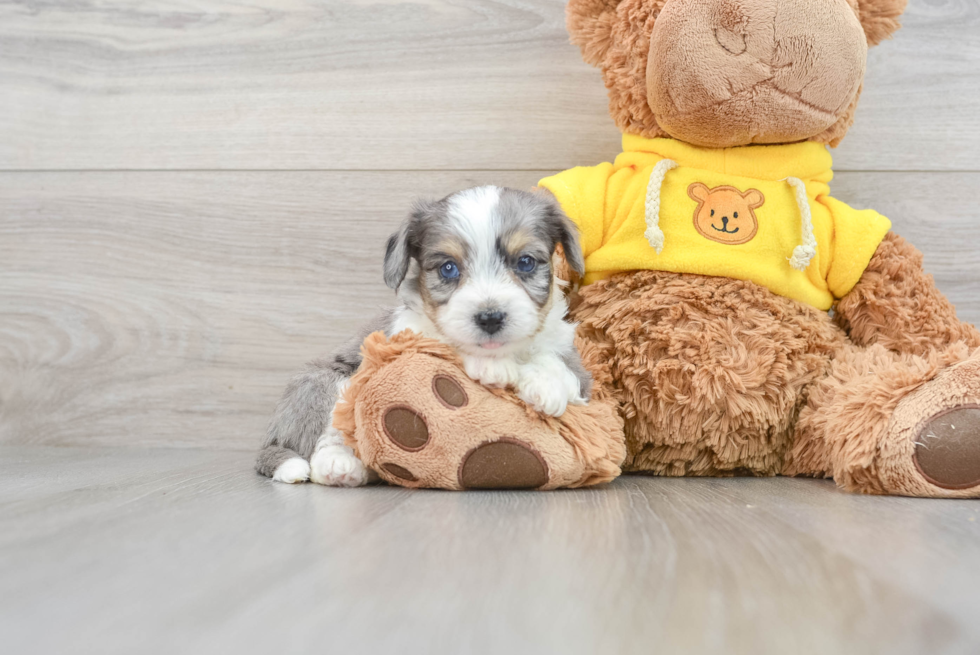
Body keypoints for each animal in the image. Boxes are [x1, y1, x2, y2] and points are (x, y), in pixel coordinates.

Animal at [255, 184, 588, 486]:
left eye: (525, 262)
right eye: (448, 268)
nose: (490, 317)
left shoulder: (580, 370)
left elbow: (560, 365)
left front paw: (545, 385)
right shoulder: (405, 335)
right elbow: (444, 340)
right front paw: (492, 366)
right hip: (325, 383)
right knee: (325, 439)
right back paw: (339, 466)